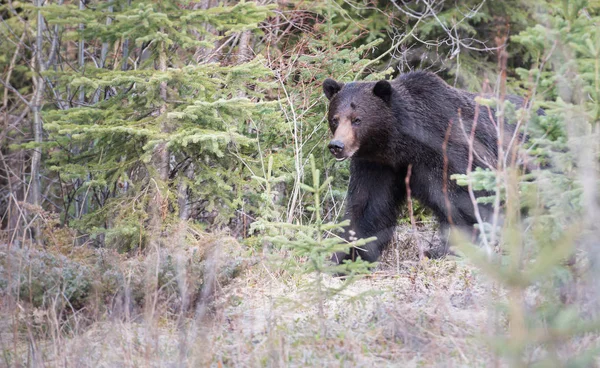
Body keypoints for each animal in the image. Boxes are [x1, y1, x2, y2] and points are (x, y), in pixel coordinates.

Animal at [324, 70, 528, 264]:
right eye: (335, 119)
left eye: (357, 119)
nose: (337, 146)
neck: (403, 146)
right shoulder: (377, 166)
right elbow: (367, 209)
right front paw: (344, 257)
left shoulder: (449, 153)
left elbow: (462, 200)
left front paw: (448, 249)